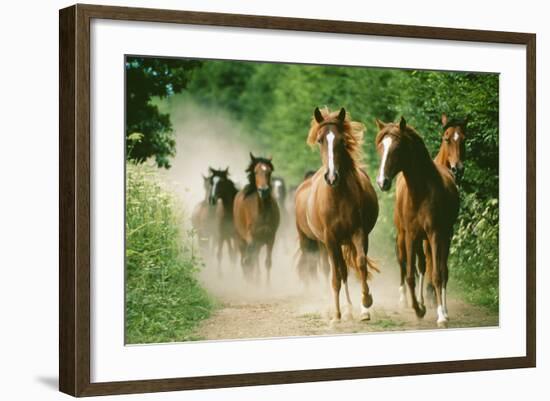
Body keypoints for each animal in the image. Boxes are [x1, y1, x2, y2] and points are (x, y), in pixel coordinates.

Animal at [234, 153, 282, 282]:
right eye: (255, 172)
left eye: (269, 172)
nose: (263, 190)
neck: (262, 212)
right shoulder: (251, 237)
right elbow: (249, 260)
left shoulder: (270, 237)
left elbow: (267, 263)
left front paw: (266, 285)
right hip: (241, 239)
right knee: (245, 259)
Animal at [296, 107, 382, 322]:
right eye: (320, 140)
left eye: (342, 140)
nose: (332, 177)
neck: (338, 197)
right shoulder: (330, 239)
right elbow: (335, 276)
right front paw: (336, 315)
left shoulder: (358, 233)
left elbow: (361, 264)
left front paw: (366, 304)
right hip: (323, 243)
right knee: (339, 270)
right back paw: (345, 309)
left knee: (347, 268)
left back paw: (354, 308)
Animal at [376, 117, 462, 326]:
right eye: (381, 147)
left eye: (397, 148)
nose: (382, 182)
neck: (421, 192)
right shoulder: (411, 235)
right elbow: (410, 275)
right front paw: (418, 309)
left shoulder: (435, 235)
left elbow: (437, 275)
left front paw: (441, 316)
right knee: (420, 266)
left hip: (446, 236)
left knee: (443, 271)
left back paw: (444, 310)